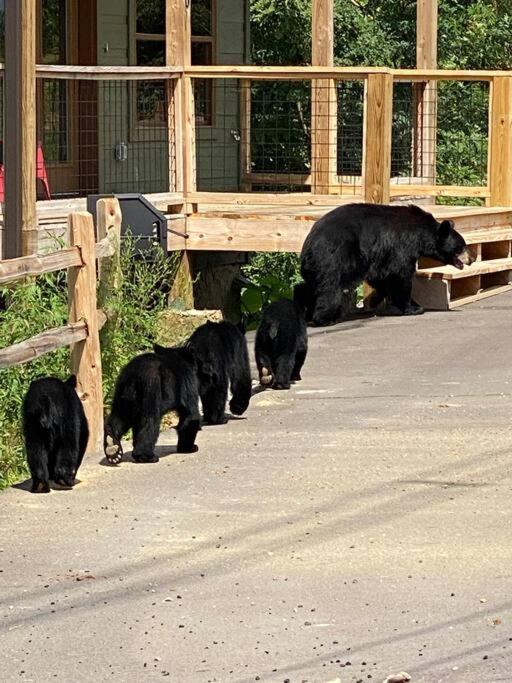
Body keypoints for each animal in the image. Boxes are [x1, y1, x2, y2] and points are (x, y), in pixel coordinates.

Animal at [298, 203, 474, 326]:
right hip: (334, 257)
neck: (421, 234)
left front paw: (376, 300)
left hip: (316, 266)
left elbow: (381, 276)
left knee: (310, 286)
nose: (472, 259)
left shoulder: (380, 256)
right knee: (329, 288)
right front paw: (413, 308)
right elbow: (401, 275)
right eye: (462, 247)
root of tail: (310, 244)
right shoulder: (401, 246)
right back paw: (325, 318)